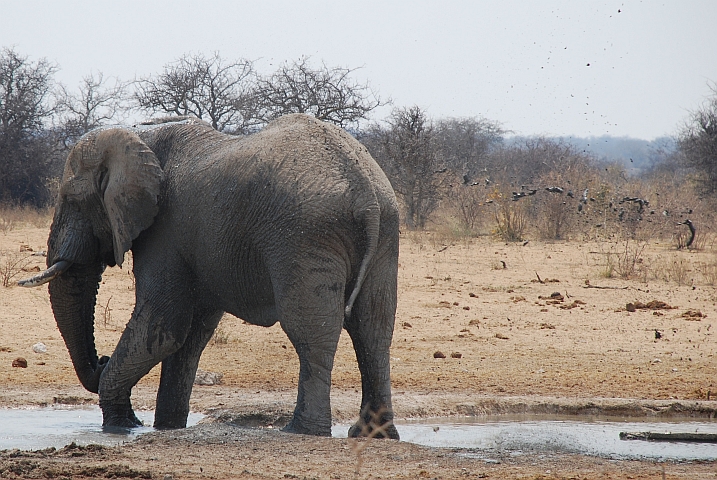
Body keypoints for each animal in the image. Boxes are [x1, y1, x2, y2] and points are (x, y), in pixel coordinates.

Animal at [19, 113, 400, 438]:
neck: (140, 136)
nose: (100, 361)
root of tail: (365, 190)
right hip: (382, 234)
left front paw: (121, 426)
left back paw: (302, 431)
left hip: (305, 236)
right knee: (373, 329)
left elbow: (165, 323)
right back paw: (373, 435)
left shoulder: (164, 230)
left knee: (312, 330)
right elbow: (191, 334)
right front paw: (165, 427)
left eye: (72, 199)